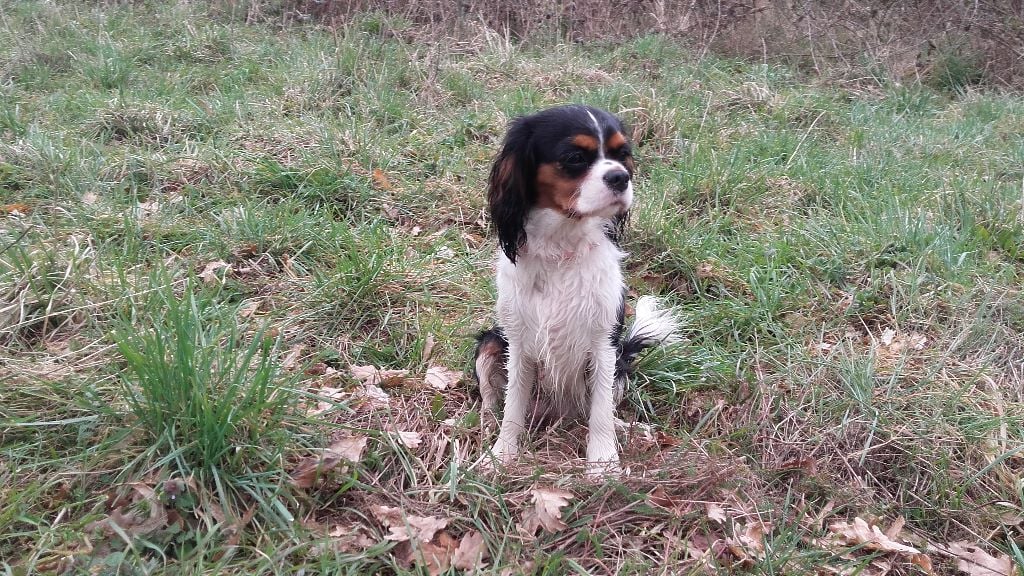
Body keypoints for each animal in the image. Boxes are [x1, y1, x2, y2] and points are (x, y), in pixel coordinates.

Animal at [473, 105, 679, 473]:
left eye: (622, 154)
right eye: (574, 157)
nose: (620, 177)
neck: (562, 247)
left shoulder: (603, 344)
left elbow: (601, 412)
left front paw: (603, 464)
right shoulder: (518, 343)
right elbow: (512, 407)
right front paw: (501, 455)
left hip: (619, 364)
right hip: (490, 343)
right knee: (492, 402)